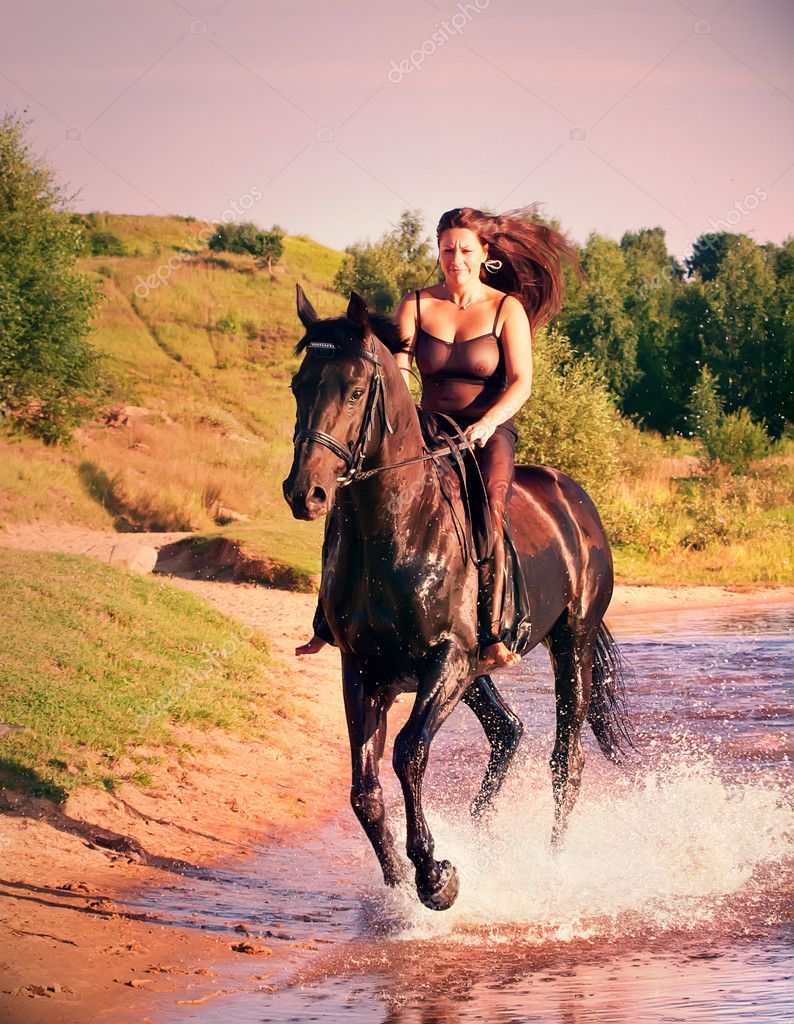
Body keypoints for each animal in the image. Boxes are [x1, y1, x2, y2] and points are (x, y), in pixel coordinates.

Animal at [282, 284, 631, 909]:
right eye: (299, 385)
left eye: (354, 390)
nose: (307, 493)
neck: (394, 530)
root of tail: (574, 498)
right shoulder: (364, 669)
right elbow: (364, 789)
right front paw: (400, 882)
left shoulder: (447, 658)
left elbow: (408, 752)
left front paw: (434, 875)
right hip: (477, 670)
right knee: (507, 731)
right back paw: (484, 836)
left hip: (572, 642)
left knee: (566, 761)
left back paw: (549, 869)